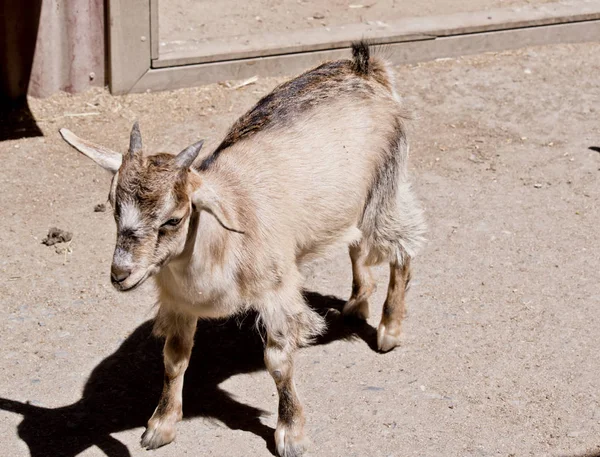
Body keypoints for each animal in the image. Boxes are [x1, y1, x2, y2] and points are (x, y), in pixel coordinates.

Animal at [58, 41, 426, 454]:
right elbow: (174, 359)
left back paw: (389, 328)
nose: (120, 273)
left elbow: (278, 362)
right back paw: (357, 302)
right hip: (349, 202)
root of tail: (364, 67)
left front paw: (290, 433)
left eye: (173, 219)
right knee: (356, 242)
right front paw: (161, 426)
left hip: (386, 185)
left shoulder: (277, 292)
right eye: (113, 206)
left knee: (401, 246)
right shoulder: (179, 303)